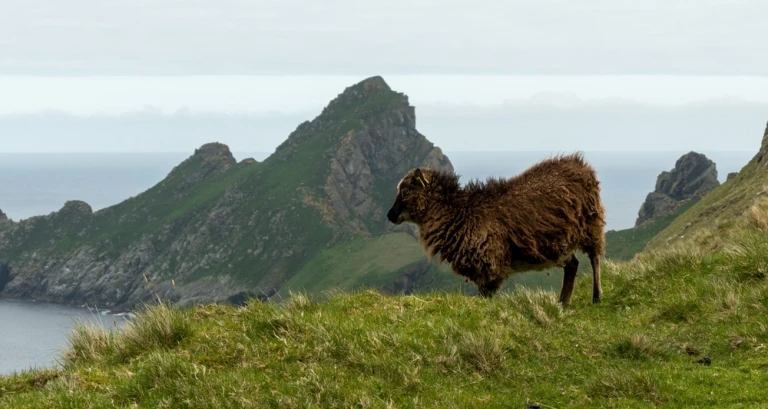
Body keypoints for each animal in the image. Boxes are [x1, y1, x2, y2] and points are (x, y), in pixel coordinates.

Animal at [386, 153, 605, 305]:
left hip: (591, 224)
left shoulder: (490, 266)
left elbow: (486, 298)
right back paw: (563, 302)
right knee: (573, 264)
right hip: (562, 242)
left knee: (594, 259)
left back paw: (596, 296)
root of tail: (581, 164)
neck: (460, 212)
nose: (389, 215)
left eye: (405, 192)